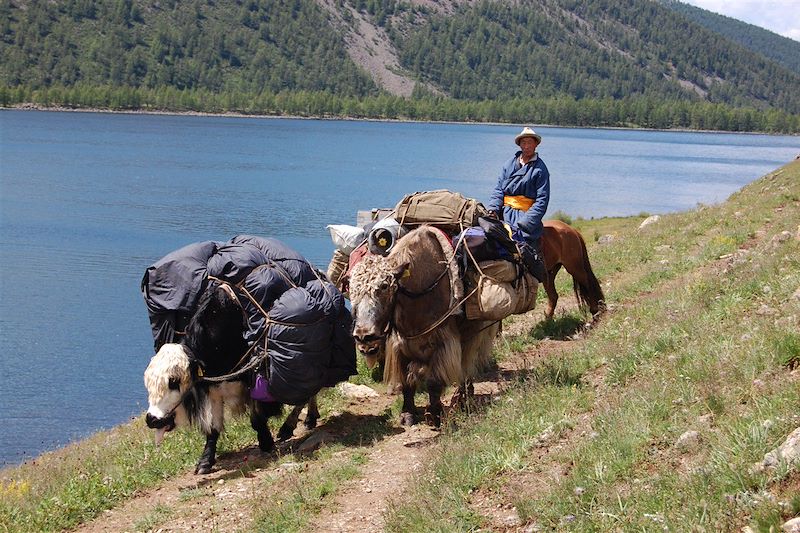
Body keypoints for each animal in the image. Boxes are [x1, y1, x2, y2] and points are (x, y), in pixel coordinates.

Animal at [346, 227, 496, 426]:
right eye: (351, 289)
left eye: (384, 286)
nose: (364, 336)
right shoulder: (400, 345)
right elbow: (406, 381)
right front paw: (407, 415)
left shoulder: (442, 343)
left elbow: (434, 382)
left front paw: (434, 415)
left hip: (475, 333)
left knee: (467, 366)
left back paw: (463, 400)